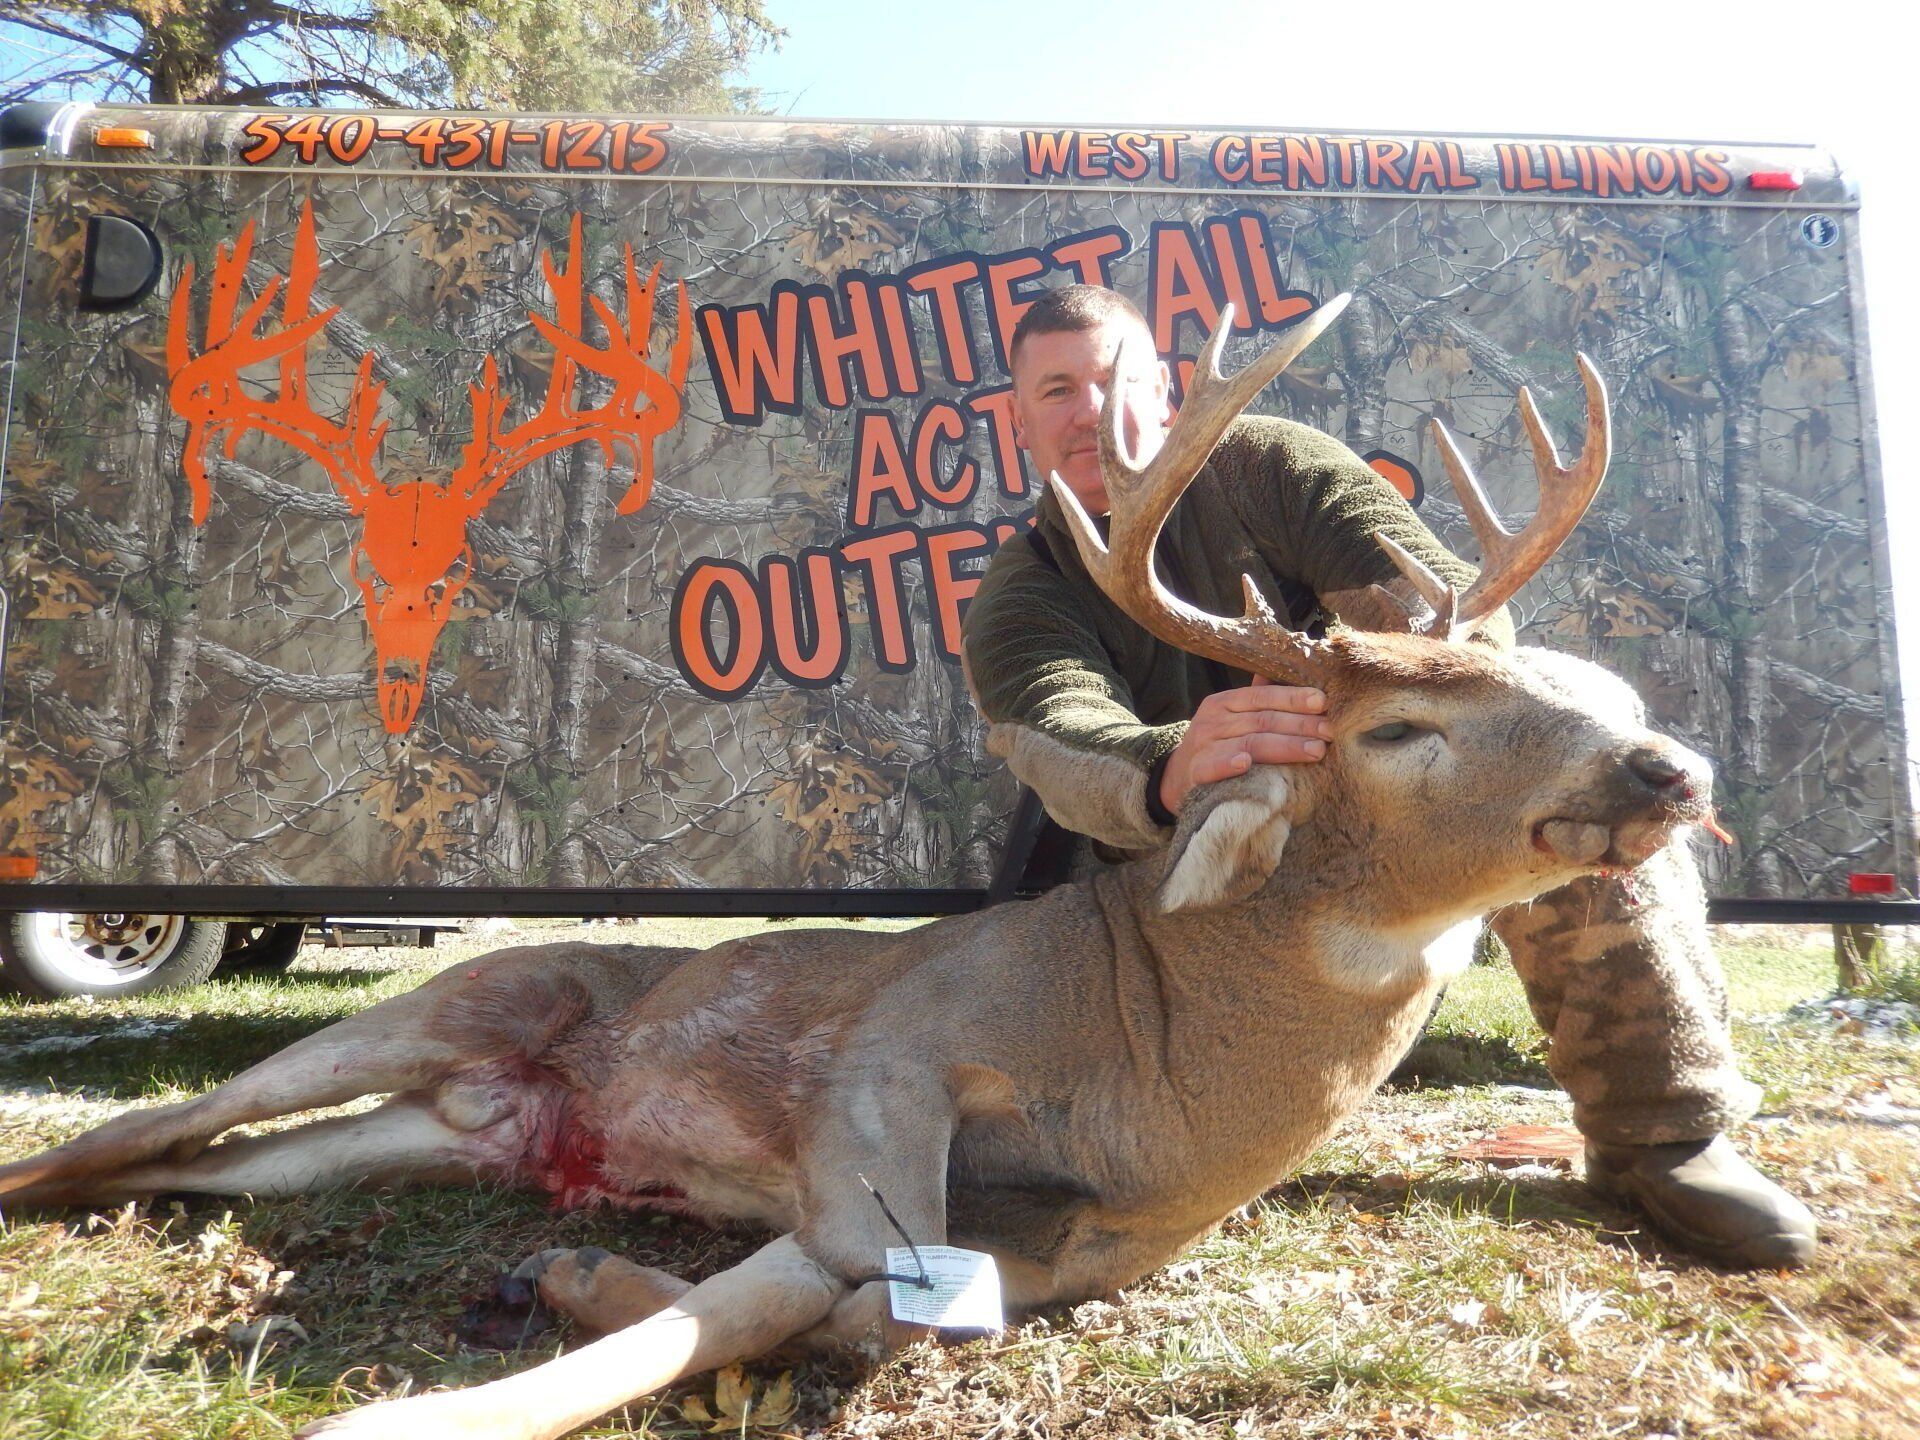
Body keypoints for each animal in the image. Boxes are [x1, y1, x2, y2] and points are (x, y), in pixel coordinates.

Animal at [0, 301, 1718, 1440]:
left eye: (1548, 677)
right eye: (1402, 727)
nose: (1669, 767)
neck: (1162, 1068)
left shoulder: (1067, 1254)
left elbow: (871, 1324)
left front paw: (577, 1271)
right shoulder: (891, 1066)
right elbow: (801, 1296)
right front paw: (427, 1398)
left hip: (419, 1131)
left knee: (185, 1161)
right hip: (451, 1001)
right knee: (140, 1122)